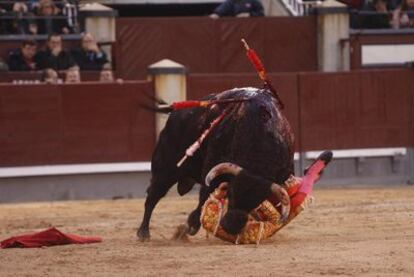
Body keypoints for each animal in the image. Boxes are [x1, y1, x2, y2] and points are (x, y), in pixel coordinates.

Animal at [137, 87, 296, 239]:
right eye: (231, 193)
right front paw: (191, 226)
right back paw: (143, 233)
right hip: (166, 168)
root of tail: (175, 112)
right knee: (153, 196)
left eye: (258, 201)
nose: (231, 227)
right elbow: (205, 195)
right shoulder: (211, 166)